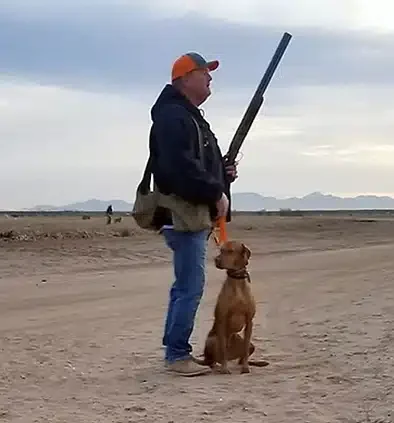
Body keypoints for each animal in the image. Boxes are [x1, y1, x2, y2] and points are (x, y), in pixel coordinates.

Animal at [195, 242, 270, 374]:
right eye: (221, 250)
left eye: (230, 251)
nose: (216, 260)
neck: (237, 281)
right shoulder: (222, 319)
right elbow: (223, 349)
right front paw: (225, 369)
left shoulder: (249, 321)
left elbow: (245, 350)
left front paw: (245, 368)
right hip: (212, 341)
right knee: (213, 360)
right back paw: (218, 366)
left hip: (250, 345)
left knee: (242, 355)